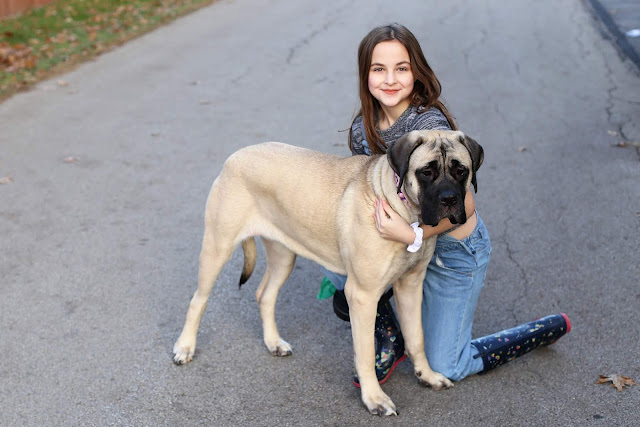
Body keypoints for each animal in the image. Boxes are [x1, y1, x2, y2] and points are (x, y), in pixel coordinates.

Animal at [172, 130, 482, 414]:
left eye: (461, 171)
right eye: (426, 172)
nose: (449, 199)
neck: (406, 212)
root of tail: (235, 156)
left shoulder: (411, 286)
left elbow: (417, 338)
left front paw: (427, 376)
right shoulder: (362, 295)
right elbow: (365, 352)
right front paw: (374, 398)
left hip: (284, 254)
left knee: (264, 294)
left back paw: (273, 342)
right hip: (218, 246)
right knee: (198, 300)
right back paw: (184, 347)